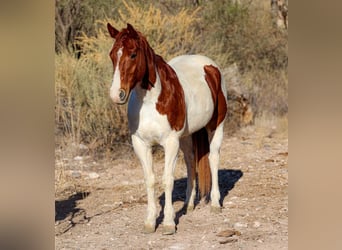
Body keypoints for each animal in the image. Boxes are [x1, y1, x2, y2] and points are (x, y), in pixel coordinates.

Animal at [107, 23, 228, 234]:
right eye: (112, 55)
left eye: (133, 54)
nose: (116, 94)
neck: (150, 101)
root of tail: (211, 67)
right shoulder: (140, 143)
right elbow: (150, 180)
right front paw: (150, 221)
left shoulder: (170, 143)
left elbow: (167, 179)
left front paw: (169, 223)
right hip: (186, 136)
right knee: (190, 162)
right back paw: (188, 204)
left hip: (215, 127)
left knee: (213, 158)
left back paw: (215, 203)